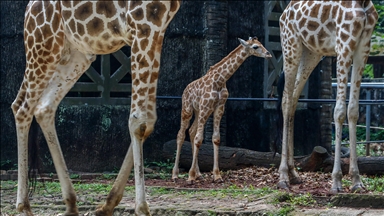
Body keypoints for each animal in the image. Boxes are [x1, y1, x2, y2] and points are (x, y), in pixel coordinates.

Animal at [11, 0, 181, 215]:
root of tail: (28, 9)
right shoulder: (143, 22)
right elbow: (139, 120)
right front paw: (142, 208)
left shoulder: (157, 26)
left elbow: (147, 121)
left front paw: (107, 205)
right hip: (43, 44)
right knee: (21, 107)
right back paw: (24, 206)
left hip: (76, 52)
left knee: (44, 107)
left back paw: (71, 203)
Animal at [172, 36, 272, 183]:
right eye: (255, 46)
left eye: (261, 44)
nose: (268, 54)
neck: (220, 80)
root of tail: (185, 90)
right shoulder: (206, 106)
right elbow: (198, 139)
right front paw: (190, 177)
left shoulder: (219, 107)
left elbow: (215, 138)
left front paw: (217, 175)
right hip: (187, 109)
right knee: (181, 135)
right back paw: (175, 174)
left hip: (199, 111)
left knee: (191, 131)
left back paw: (198, 173)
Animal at [278, 0, 376, 192]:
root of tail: (283, 13)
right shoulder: (344, 45)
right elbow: (338, 111)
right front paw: (336, 181)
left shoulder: (363, 46)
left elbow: (353, 110)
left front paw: (356, 181)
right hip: (290, 45)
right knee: (285, 100)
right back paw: (283, 176)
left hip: (311, 52)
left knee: (293, 100)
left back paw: (293, 173)